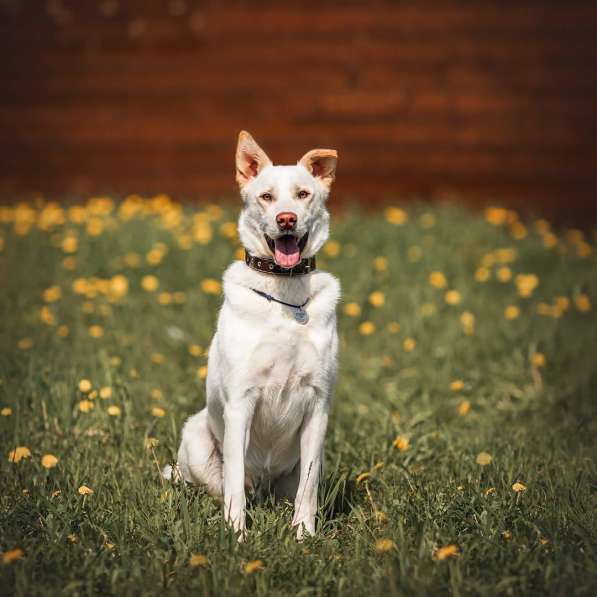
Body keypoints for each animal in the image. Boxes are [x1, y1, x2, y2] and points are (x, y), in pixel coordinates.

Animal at [165, 132, 338, 540]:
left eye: (303, 194)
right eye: (267, 197)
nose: (286, 219)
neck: (285, 295)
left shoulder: (318, 407)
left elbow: (308, 488)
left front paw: (304, 535)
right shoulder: (240, 403)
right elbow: (233, 483)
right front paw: (236, 537)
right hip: (197, 437)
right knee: (219, 486)